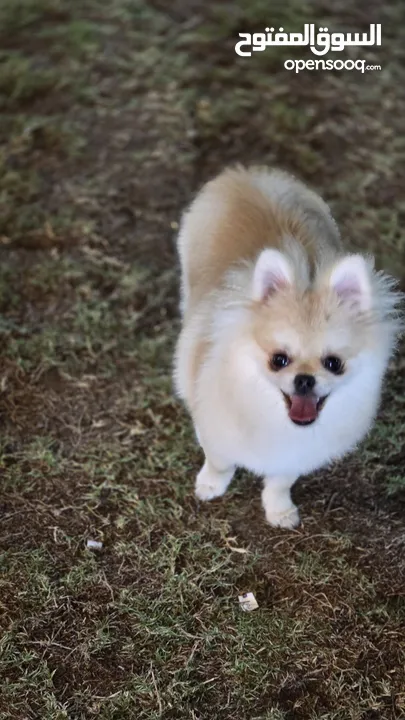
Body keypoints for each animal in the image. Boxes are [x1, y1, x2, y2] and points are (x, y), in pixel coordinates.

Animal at [173, 169, 400, 528]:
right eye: (278, 360)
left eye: (334, 363)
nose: (304, 379)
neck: (275, 420)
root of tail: (247, 175)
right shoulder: (213, 427)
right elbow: (219, 461)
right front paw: (210, 485)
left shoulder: (294, 455)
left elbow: (280, 482)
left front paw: (278, 510)